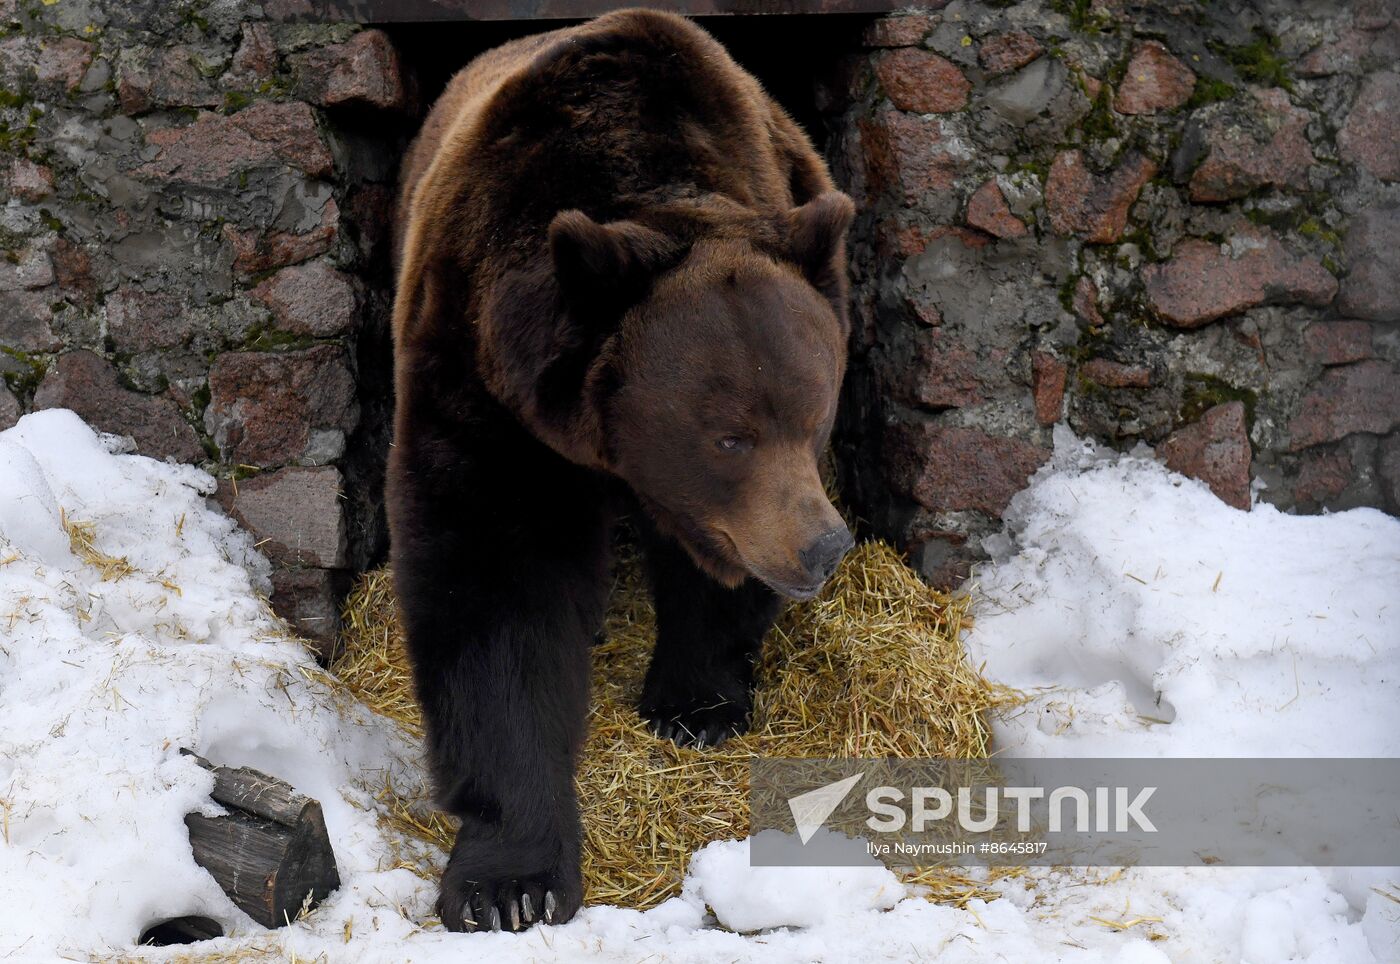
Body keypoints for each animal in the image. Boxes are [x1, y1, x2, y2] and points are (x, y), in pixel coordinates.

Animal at [392, 9, 851, 934]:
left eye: (813, 414)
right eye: (730, 437)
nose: (822, 547)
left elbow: (710, 577)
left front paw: (695, 703)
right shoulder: (478, 376)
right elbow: (494, 588)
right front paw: (510, 883)